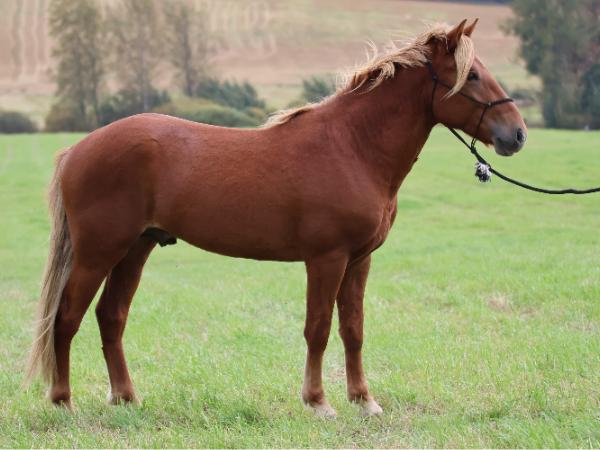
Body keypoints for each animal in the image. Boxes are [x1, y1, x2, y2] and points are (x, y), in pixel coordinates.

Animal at [27, 19, 526, 417]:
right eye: (472, 74)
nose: (517, 134)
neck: (352, 146)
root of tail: (79, 149)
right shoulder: (326, 259)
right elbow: (318, 329)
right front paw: (319, 402)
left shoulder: (359, 260)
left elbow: (353, 329)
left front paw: (364, 401)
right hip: (99, 252)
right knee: (66, 317)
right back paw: (63, 400)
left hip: (136, 248)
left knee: (111, 316)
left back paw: (126, 398)